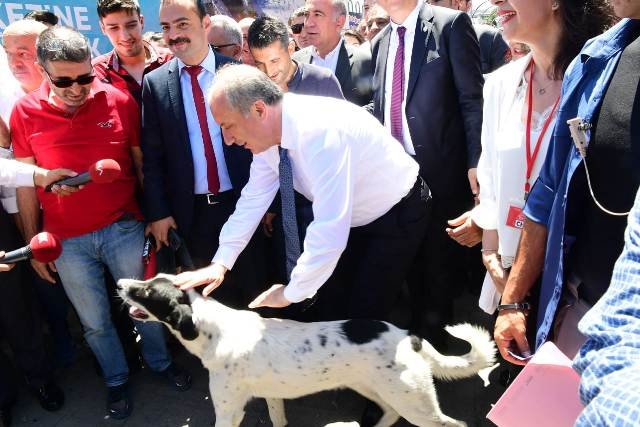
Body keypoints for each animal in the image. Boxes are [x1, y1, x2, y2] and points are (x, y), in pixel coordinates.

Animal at [117, 276, 496, 426]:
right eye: (148, 280)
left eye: (148, 293)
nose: (120, 283)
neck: (215, 330)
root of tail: (410, 336)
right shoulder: (272, 396)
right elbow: (278, 420)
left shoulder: (228, 411)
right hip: (377, 389)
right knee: (389, 413)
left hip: (416, 403)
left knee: (454, 424)